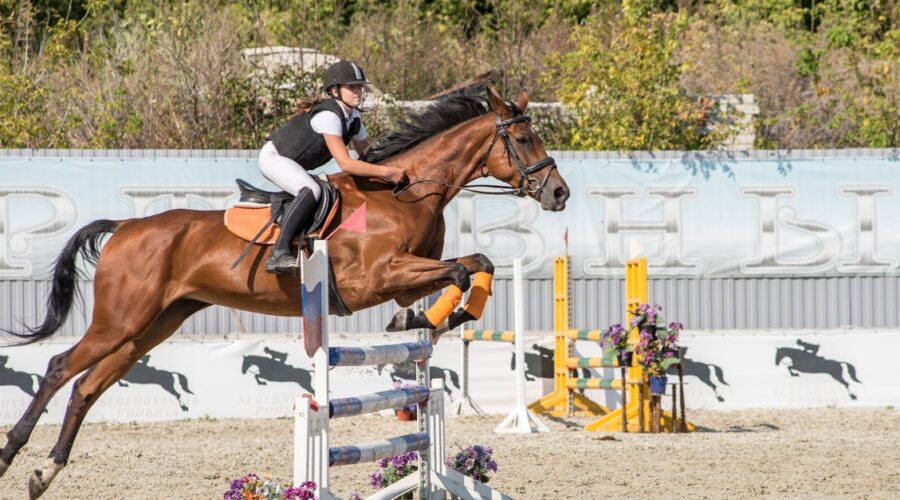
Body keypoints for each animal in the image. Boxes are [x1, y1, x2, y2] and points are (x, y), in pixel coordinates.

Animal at [0, 86, 569, 498]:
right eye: (523, 141)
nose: (559, 193)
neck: (404, 192)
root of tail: (124, 228)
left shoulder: (407, 279)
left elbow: (475, 266)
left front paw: (428, 320)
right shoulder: (377, 277)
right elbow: (462, 270)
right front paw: (435, 319)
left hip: (153, 326)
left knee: (86, 387)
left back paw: (44, 473)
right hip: (120, 319)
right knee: (60, 369)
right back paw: (12, 454)